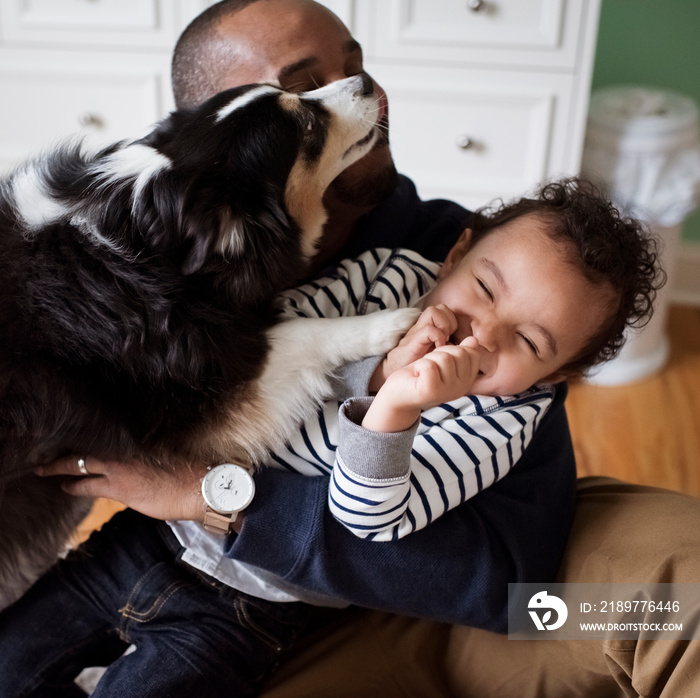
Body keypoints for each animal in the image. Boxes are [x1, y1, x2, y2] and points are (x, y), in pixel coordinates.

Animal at [0, 72, 416, 604]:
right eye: (306, 125)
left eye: (291, 92)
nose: (365, 80)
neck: (148, 242)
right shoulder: (199, 399)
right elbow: (302, 332)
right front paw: (392, 322)